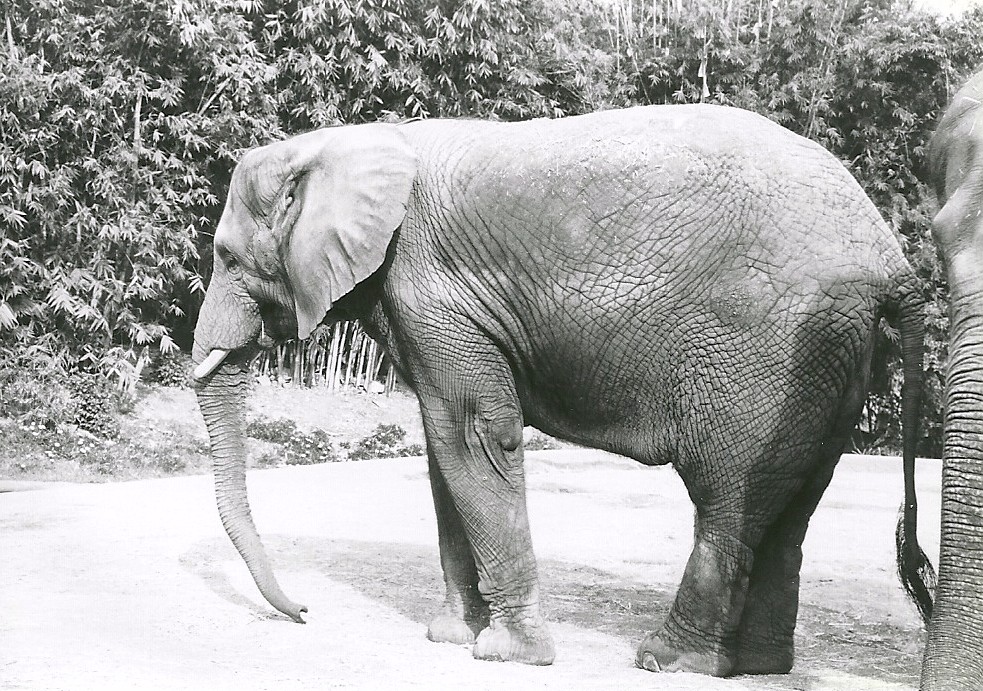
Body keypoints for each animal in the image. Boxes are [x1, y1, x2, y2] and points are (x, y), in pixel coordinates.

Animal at [191, 104, 934, 677]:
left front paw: (506, 654)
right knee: (794, 505)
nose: (304, 611)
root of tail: (890, 257)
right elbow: (441, 447)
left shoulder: (434, 291)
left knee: (729, 498)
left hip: (769, 352)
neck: (341, 144)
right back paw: (756, 668)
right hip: (830, 357)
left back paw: (669, 661)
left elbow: (473, 435)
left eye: (227, 257)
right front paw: (453, 637)